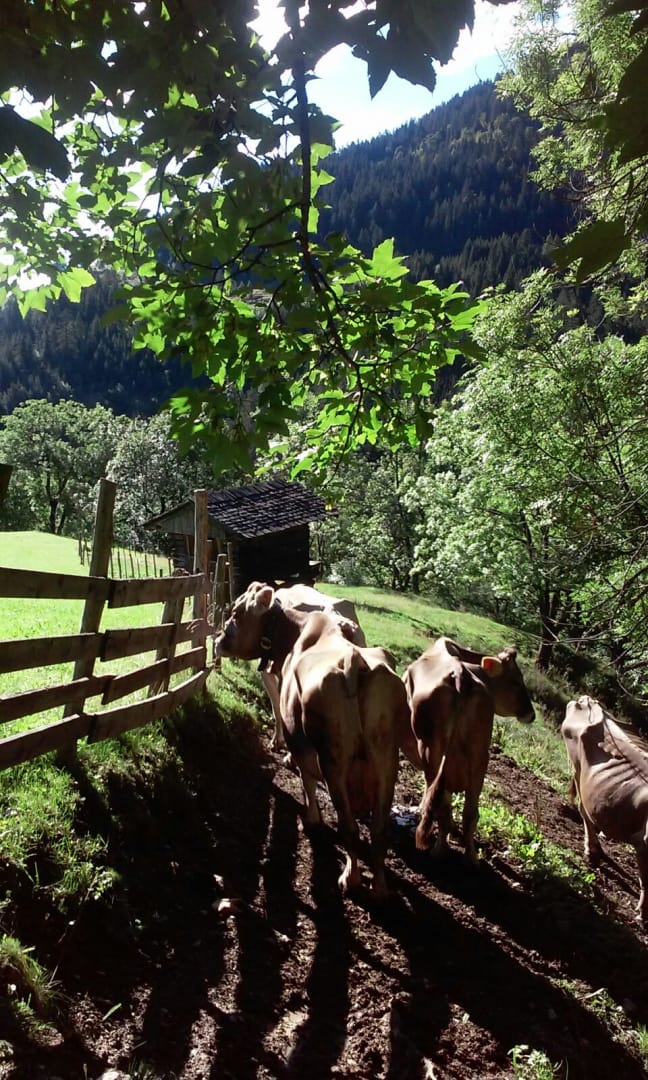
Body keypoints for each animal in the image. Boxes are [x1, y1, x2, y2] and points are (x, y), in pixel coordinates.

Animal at [403, 636, 535, 862]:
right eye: (517, 681)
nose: (532, 714)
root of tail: (460, 676)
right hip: (479, 757)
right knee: (469, 813)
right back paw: (471, 858)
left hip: (432, 751)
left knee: (440, 804)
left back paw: (438, 850)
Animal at [562, 695, 648, 923]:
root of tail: (589, 700)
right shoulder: (643, 842)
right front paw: (642, 914)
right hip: (577, 769)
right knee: (583, 810)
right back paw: (592, 851)